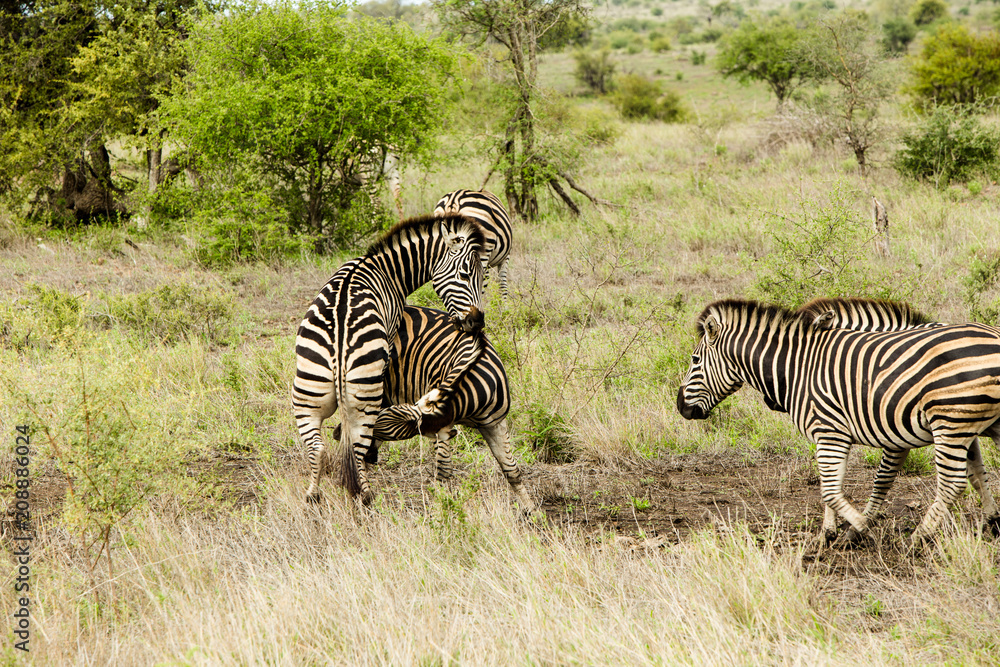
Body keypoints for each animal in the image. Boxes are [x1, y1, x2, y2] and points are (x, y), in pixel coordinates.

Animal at [293, 213, 486, 505]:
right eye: (465, 274)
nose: (477, 322)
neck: (386, 269)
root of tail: (338, 339)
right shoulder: (392, 332)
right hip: (362, 395)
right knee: (357, 443)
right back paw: (365, 494)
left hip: (308, 391)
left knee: (317, 448)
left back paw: (313, 495)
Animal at [329, 305, 536, 512]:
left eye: (384, 429)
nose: (337, 434)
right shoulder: (442, 426)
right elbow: (444, 470)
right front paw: (443, 509)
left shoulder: (494, 424)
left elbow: (511, 470)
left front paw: (531, 511)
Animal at [676, 299, 1000, 544]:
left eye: (694, 361)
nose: (680, 407)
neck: (801, 368)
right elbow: (977, 473)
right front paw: (829, 531)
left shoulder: (847, 431)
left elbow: (844, 487)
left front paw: (860, 529)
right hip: (967, 422)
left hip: (950, 422)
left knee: (950, 484)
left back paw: (917, 538)